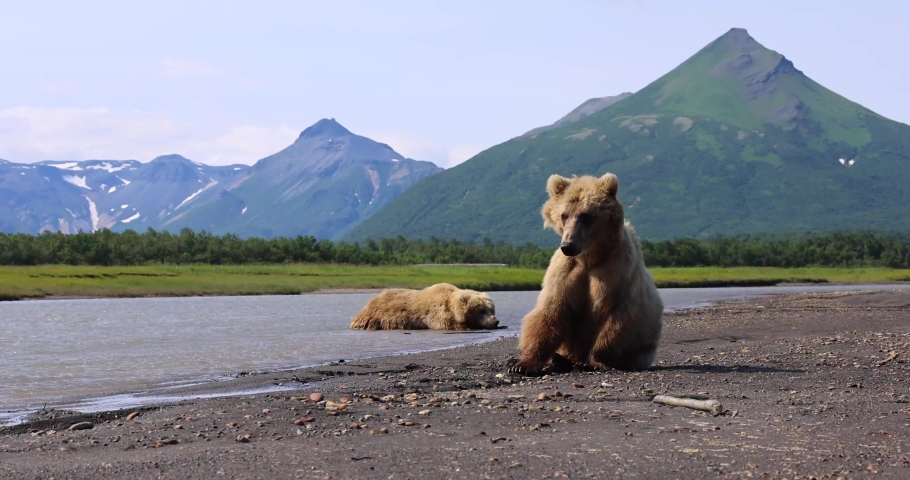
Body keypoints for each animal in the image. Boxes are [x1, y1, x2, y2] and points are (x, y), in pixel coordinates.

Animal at [349, 283, 499, 331]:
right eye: (481, 311)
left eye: (491, 309)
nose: (496, 321)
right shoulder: (436, 313)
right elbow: (446, 324)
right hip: (375, 317)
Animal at [507, 172, 663, 376]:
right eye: (564, 215)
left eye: (586, 215)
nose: (568, 246)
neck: (589, 257)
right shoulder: (566, 271)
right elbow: (551, 310)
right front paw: (522, 363)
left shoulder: (616, 272)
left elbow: (617, 319)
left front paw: (595, 361)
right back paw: (559, 359)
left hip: (645, 344)